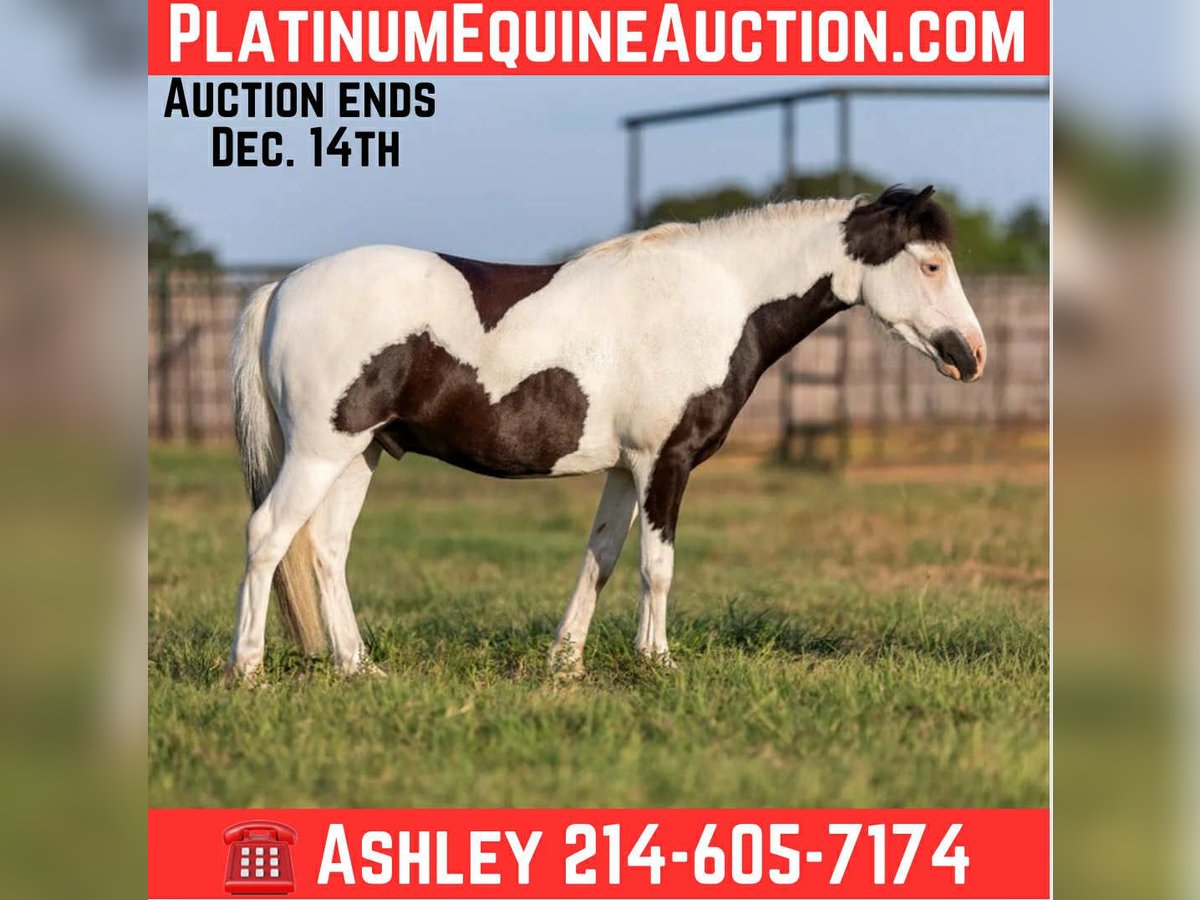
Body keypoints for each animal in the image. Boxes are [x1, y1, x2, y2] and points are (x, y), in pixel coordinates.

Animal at [226, 185, 986, 682]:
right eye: (930, 265)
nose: (972, 355)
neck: (716, 298)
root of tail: (281, 287)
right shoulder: (663, 462)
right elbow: (657, 567)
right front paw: (658, 663)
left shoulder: (625, 470)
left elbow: (602, 559)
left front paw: (565, 664)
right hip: (321, 451)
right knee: (268, 537)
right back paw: (248, 670)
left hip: (361, 453)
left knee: (327, 549)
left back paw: (358, 669)